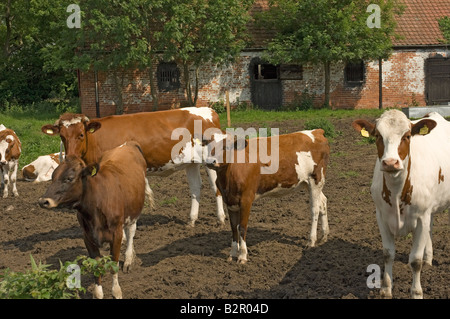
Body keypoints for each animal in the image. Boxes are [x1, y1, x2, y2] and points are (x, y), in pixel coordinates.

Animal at [38, 141, 149, 298]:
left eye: (69, 178)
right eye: (53, 177)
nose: (43, 201)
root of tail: (128, 143)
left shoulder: (115, 234)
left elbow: (113, 265)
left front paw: (116, 291)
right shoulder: (88, 237)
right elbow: (96, 268)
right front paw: (98, 293)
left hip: (134, 211)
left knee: (131, 231)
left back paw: (128, 259)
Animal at [40, 108, 225, 228]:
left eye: (80, 134)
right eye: (62, 136)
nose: (70, 158)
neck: (96, 140)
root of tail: (208, 110)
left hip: (210, 159)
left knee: (215, 187)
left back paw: (221, 219)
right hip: (191, 162)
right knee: (195, 188)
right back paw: (192, 220)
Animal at [206, 129, 328, 264]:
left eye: (226, 147)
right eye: (208, 145)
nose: (210, 161)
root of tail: (316, 131)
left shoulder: (246, 200)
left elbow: (242, 227)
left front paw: (242, 256)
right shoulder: (230, 202)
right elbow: (233, 228)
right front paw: (232, 254)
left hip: (316, 179)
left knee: (315, 210)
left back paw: (311, 241)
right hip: (308, 183)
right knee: (323, 203)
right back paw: (324, 235)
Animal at [352, 110, 450, 300]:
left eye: (407, 136)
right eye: (378, 136)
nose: (390, 162)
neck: (397, 191)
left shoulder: (421, 218)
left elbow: (415, 261)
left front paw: (416, 292)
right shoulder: (381, 216)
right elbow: (388, 254)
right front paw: (385, 289)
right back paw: (429, 259)